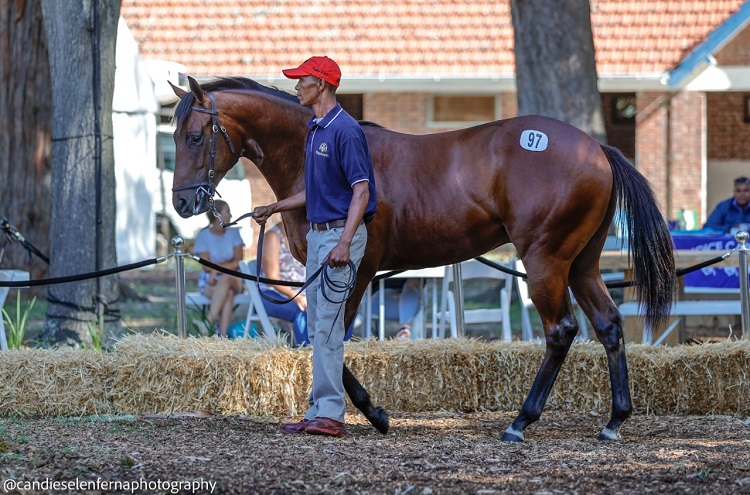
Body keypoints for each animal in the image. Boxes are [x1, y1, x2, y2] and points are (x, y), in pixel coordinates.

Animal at [169, 76, 676, 442]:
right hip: (581, 264)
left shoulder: (353, 271)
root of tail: (597, 151)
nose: (182, 203)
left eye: (194, 137)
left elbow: (329, 337)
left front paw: (372, 413)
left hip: (545, 261)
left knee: (561, 331)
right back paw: (614, 420)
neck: (312, 153)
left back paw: (521, 421)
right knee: (608, 324)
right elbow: (318, 338)